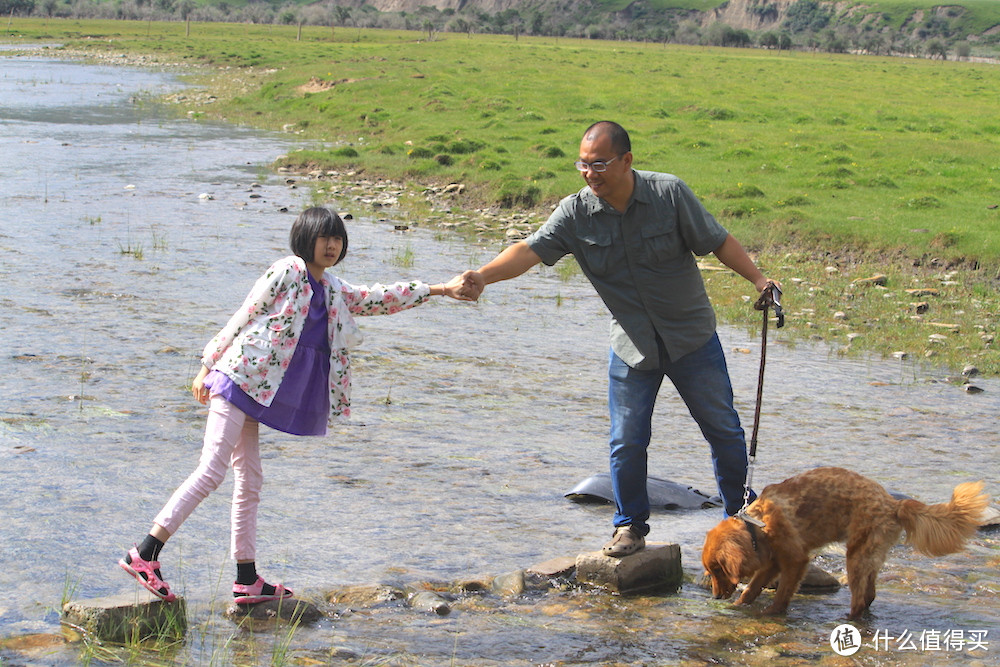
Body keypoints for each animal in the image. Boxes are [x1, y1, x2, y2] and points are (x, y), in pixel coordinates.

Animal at [700, 468, 988, 620]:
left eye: (717, 570)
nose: (714, 596)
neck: (758, 525)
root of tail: (893, 504)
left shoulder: (795, 559)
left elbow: (782, 594)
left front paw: (772, 612)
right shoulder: (772, 561)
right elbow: (752, 588)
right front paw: (738, 606)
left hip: (856, 556)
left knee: (860, 599)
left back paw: (847, 620)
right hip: (868, 556)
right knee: (869, 595)